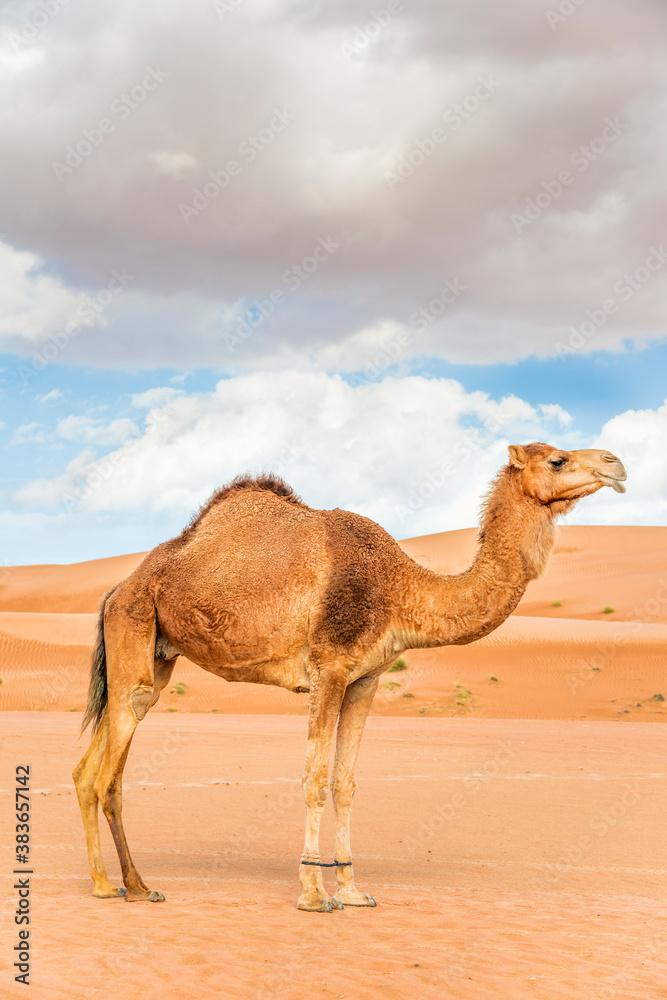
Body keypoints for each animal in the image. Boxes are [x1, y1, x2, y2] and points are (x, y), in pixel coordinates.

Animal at [72, 442, 628, 912]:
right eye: (557, 459)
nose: (616, 464)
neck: (400, 588)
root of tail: (117, 589)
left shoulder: (366, 679)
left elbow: (346, 782)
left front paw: (353, 890)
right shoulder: (330, 669)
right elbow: (315, 779)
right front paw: (315, 894)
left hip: (155, 653)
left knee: (89, 767)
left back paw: (106, 883)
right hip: (134, 629)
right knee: (110, 771)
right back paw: (134, 886)